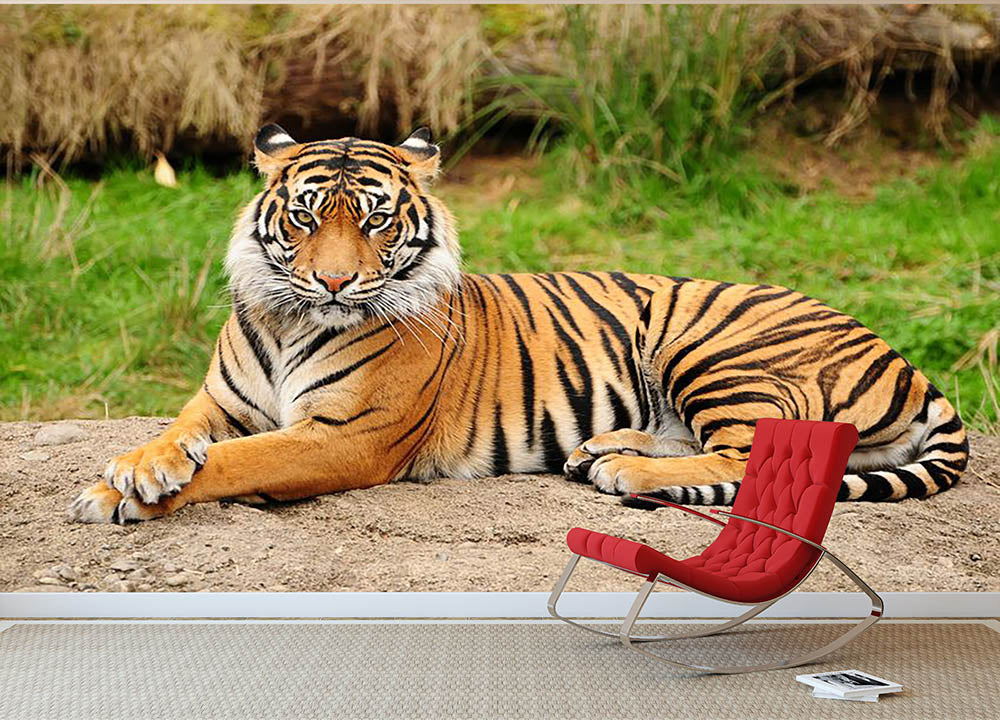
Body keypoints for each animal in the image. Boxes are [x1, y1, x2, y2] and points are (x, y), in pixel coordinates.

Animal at [68, 125, 969, 524]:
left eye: (376, 221)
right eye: (305, 217)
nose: (334, 280)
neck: (292, 320)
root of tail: (907, 360)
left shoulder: (346, 435)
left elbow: (238, 460)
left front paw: (124, 494)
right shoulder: (220, 401)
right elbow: (179, 434)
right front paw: (132, 470)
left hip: (712, 345)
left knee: (758, 459)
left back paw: (623, 471)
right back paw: (602, 449)